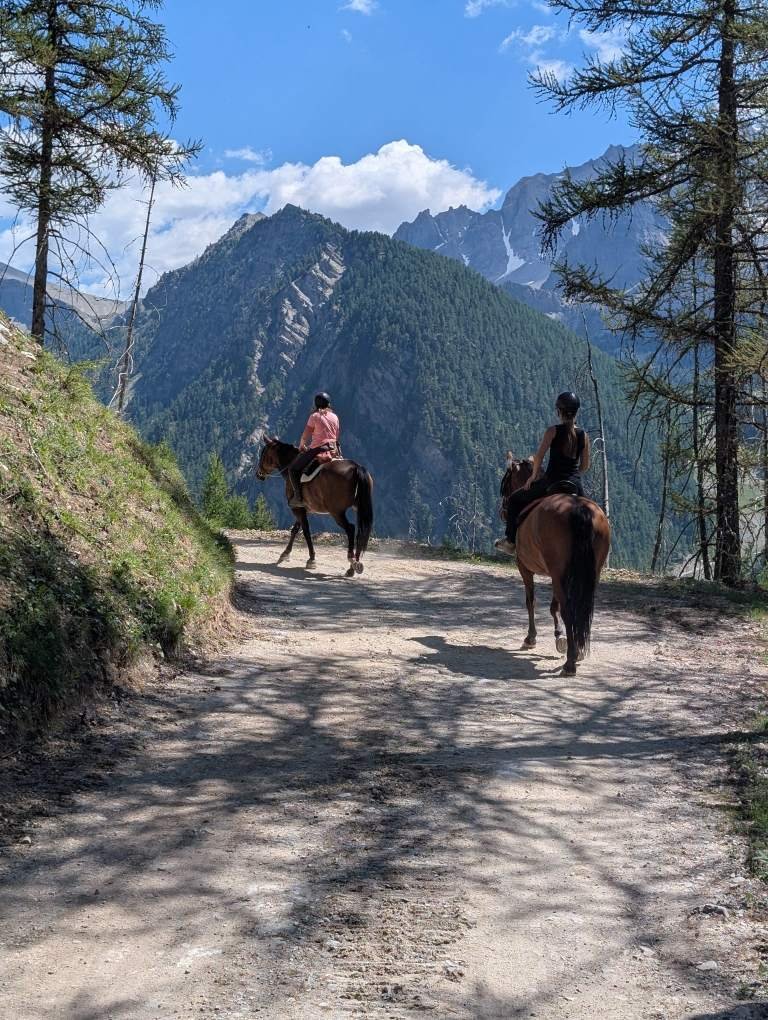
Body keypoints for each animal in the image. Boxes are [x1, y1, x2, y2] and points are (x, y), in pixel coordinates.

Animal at [256, 438, 374, 578]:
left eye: (263, 454)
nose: (258, 474)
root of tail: (356, 467)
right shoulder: (304, 509)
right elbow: (295, 529)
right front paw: (285, 554)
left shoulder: (297, 508)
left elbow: (306, 531)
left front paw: (311, 559)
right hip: (359, 509)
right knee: (360, 532)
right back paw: (354, 565)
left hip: (337, 512)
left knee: (350, 529)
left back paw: (351, 562)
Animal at [500, 455, 611, 675]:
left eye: (505, 483)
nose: (503, 510)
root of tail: (578, 508)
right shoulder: (556, 574)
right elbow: (553, 606)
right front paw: (560, 637)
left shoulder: (525, 567)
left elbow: (531, 601)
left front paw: (531, 638)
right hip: (591, 573)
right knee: (584, 609)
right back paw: (580, 651)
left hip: (558, 572)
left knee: (569, 608)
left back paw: (570, 662)